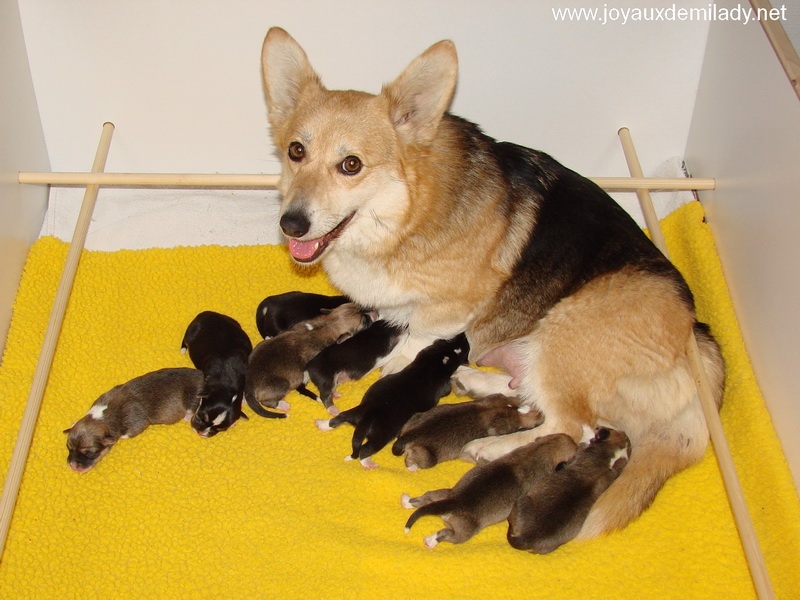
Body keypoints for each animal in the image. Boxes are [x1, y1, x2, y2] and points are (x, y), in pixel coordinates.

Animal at [64, 368, 205, 472]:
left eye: (90, 453)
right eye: (69, 447)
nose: (73, 466)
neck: (101, 418)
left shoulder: (136, 422)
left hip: (193, 397)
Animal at [245, 300, 376, 418]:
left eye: (360, 307)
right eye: (364, 321)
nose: (374, 312)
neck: (329, 324)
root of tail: (249, 383)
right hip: (282, 384)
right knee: (267, 401)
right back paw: (282, 404)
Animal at [318, 332, 472, 468]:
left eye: (456, 337)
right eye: (466, 345)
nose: (464, 334)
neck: (443, 356)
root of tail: (367, 418)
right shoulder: (444, 383)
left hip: (355, 411)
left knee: (338, 418)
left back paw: (322, 424)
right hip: (381, 436)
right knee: (364, 450)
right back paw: (368, 463)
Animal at [404, 432, 580, 548]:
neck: (542, 450)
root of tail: (455, 502)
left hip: (443, 493)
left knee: (425, 498)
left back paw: (406, 501)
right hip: (464, 532)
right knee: (445, 535)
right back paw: (431, 540)